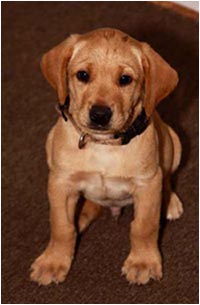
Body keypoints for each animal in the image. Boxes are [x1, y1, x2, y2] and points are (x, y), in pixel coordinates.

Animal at [30, 27, 183, 284]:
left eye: (125, 79)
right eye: (82, 75)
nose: (100, 114)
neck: (103, 144)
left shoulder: (147, 183)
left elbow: (144, 226)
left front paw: (143, 261)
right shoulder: (60, 183)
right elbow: (61, 227)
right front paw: (53, 261)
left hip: (174, 143)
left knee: (168, 177)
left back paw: (170, 201)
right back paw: (81, 214)